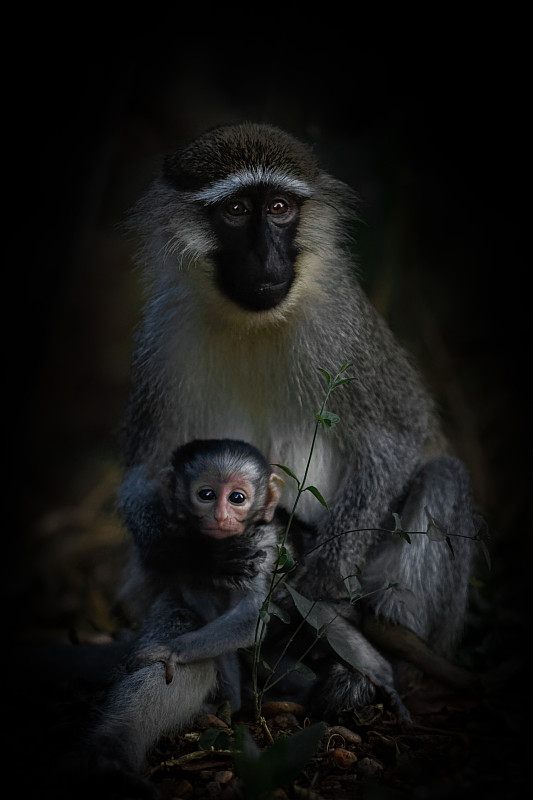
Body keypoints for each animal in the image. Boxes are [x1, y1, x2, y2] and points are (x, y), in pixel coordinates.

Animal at [119, 122, 474, 716]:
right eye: (237, 209)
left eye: (280, 208)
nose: (266, 258)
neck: (252, 322)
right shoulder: (159, 339)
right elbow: (140, 480)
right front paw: (194, 548)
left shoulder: (343, 322)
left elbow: (399, 436)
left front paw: (323, 575)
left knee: (444, 477)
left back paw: (371, 672)